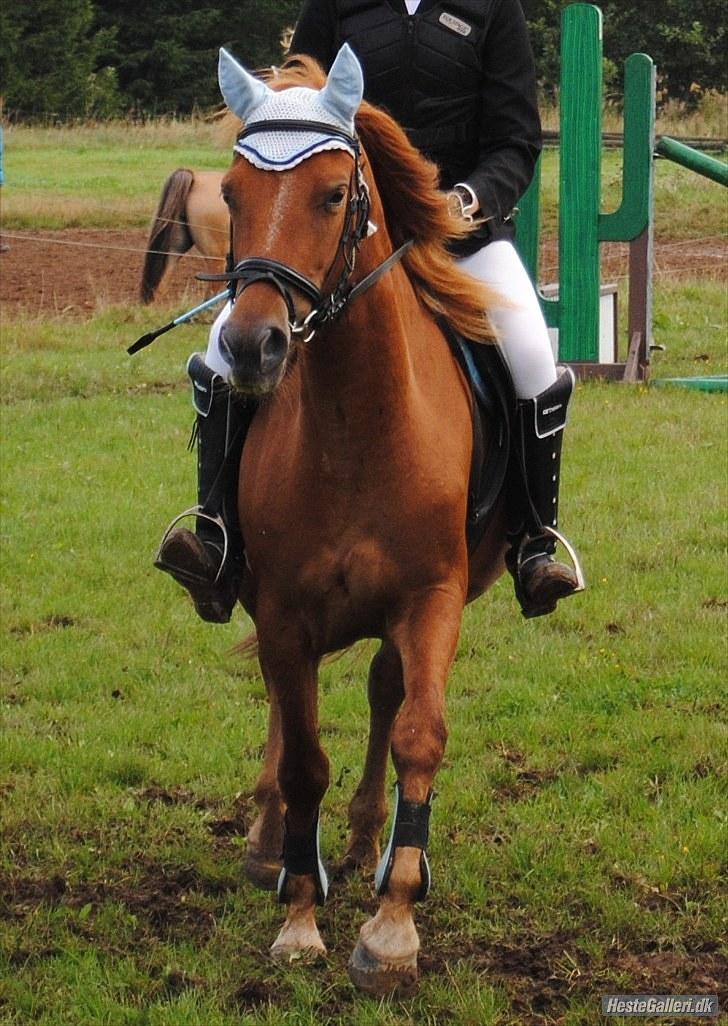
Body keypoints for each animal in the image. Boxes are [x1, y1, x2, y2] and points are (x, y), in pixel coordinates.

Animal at [214, 48, 508, 993]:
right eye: (228, 193)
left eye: (335, 194)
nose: (251, 347)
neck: (357, 423)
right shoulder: (282, 609)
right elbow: (303, 751)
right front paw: (300, 917)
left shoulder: (432, 598)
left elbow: (418, 732)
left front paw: (392, 923)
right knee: (286, 706)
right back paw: (273, 843)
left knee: (385, 691)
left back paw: (365, 841)